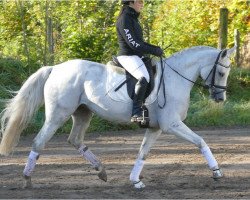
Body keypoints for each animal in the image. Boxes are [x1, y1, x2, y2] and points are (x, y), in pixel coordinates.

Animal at [0, 45, 235, 189]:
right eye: (222, 73)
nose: (220, 98)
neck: (174, 78)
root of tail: (55, 68)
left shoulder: (155, 127)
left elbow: (143, 153)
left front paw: (135, 181)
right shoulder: (172, 124)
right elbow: (200, 141)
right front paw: (216, 171)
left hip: (83, 113)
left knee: (75, 140)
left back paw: (101, 171)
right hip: (58, 115)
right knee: (39, 142)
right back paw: (27, 179)